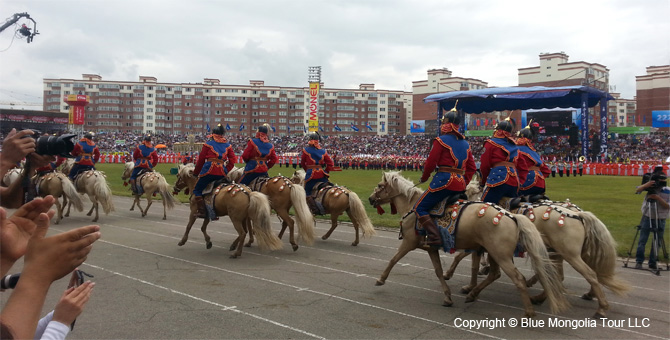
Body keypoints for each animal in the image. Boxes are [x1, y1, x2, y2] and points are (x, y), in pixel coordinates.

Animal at [370, 171, 568, 318]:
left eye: (380, 186)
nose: (371, 199)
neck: (413, 207)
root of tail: (512, 216)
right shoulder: (432, 248)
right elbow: (439, 271)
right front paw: (448, 295)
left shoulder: (409, 243)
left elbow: (394, 259)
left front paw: (381, 279)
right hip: (496, 253)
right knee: (498, 274)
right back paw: (476, 293)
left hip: (501, 255)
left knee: (519, 278)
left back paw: (529, 311)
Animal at [462, 182, 632, 318]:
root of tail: (578, 214)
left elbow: (472, 263)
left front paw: (470, 286)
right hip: (561, 252)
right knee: (581, 273)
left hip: (569, 254)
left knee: (589, 273)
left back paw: (601, 308)